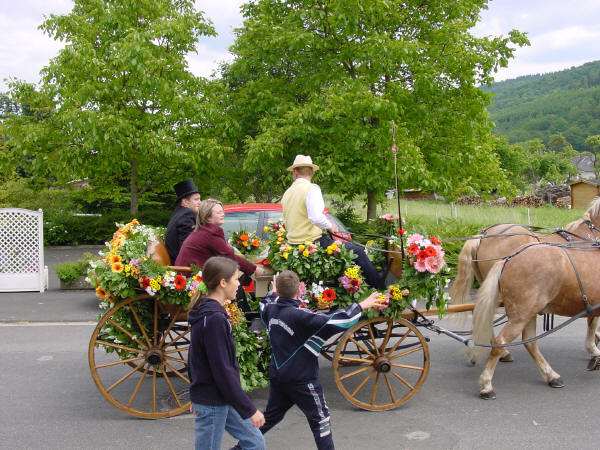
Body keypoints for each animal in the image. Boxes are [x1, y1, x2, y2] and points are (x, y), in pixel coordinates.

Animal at [472, 241, 600, 400]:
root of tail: (508, 259)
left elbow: (592, 328)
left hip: (530, 313)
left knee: (530, 342)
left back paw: (551, 376)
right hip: (521, 316)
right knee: (500, 343)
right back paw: (486, 386)